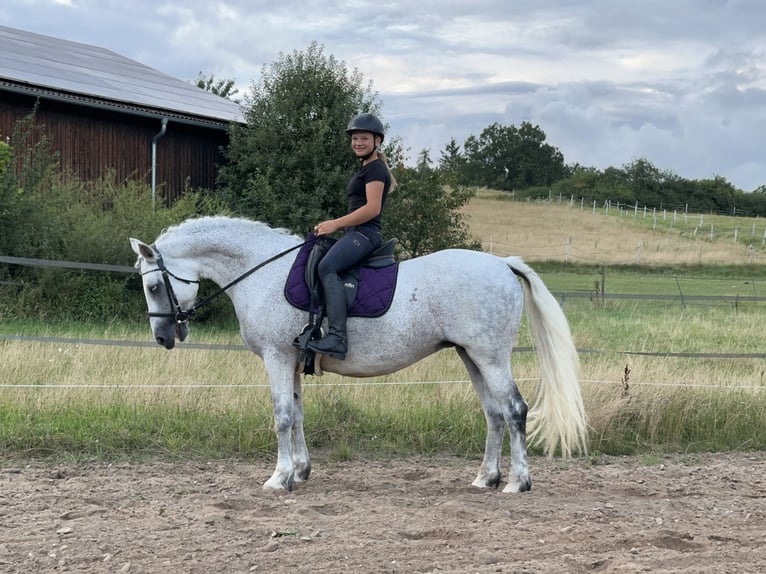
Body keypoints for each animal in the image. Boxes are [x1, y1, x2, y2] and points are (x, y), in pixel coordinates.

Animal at [132, 216, 588, 496]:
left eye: (153, 287)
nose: (164, 337)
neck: (262, 272)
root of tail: (502, 264)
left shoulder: (277, 358)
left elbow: (282, 416)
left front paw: (279, 479)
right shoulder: (292, 360)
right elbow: (298, 414)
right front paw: (301, 471)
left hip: (490, 357)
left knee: (514, 409)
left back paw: (518, 482)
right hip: (470, 356)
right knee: (493, 413)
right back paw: (486, 478)